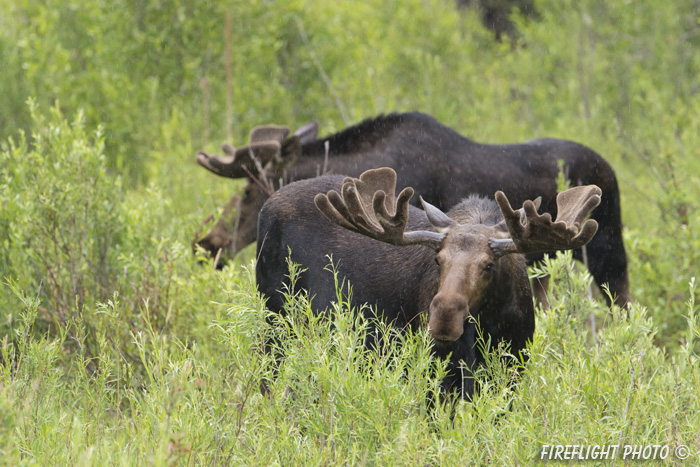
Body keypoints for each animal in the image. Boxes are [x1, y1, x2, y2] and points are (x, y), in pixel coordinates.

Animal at [258, 168, 600, 398]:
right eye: (438, 259)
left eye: (489, 265)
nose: (444, 317)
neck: (493, 324)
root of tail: (265, 206)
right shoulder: (438, 371)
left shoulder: (512, 369)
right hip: (275, 321)